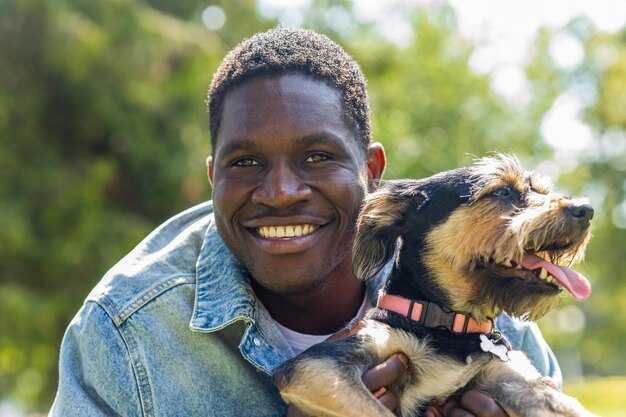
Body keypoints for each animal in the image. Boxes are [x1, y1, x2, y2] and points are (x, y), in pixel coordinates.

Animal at [272, 154, 596, 416]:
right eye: (501, 191)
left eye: (541, 191)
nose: (587, 209)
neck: (452, 326)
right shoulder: (319, 367)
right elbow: (378, 412)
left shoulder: (512, 378)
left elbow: (568, 408)